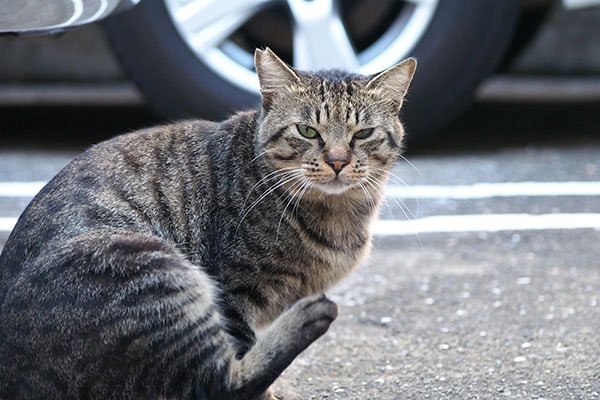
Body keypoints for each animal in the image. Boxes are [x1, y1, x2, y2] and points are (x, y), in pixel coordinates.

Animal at [0, 48, 412, 398]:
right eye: (307, 131)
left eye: (363, 134)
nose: (338, 161)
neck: (336, 211)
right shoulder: (235, 290)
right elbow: (242, 351)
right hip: (148, 263)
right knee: (219, 385)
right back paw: (309, 318)